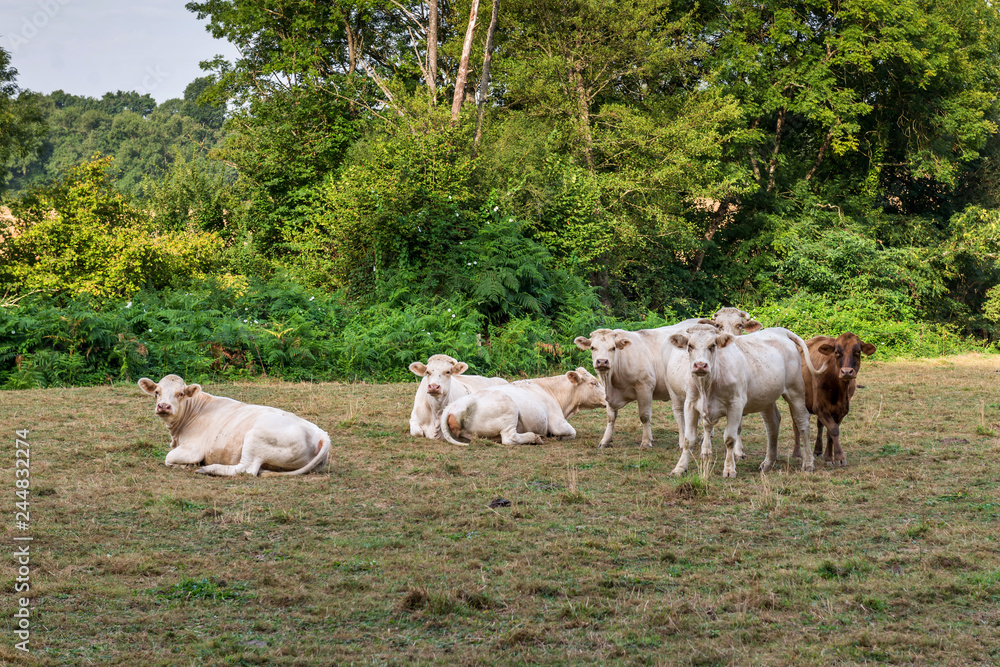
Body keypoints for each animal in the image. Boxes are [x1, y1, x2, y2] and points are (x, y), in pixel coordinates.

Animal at [138, 374, 330, 477]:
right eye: (157, 392)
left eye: (180, 394)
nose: (163, 406)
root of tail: (321, 434)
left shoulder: (193, 449)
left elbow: (168, 458)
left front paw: (187, 465)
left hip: (255, 438)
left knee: (246, 469)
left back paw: (208, 469)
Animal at [440, 367, 606, 445]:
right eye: (594, 383)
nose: (607, 397)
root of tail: (453, 406)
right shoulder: (558, 423)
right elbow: (572, 432)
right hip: (509, 410)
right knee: (510, 438)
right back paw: (534, 437)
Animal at [666, 325, 826, 477]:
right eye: (690, 346)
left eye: (712, 346)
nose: (700, 365)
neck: (707, 386)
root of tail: (780, 330)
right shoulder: (690, 404)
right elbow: (688, 439)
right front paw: (680, 468)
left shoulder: (735, 405)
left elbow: (730, 439)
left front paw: (729, 469)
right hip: (766, 398)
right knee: (772, 424)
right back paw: (768, 462)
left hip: (795, 390)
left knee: (802, 422)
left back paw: (808, 463)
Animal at [792, 333, 877, 467]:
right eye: (837, 352)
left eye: (858, 351)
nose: (846, 372)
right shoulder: (820, 407)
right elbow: (834, 430)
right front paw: (840, 457)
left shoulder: (842, 409)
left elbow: (830, 433)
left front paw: (828, 457)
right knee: (795, 424)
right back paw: (796, 454)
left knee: (819, 425)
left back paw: (818, 450)